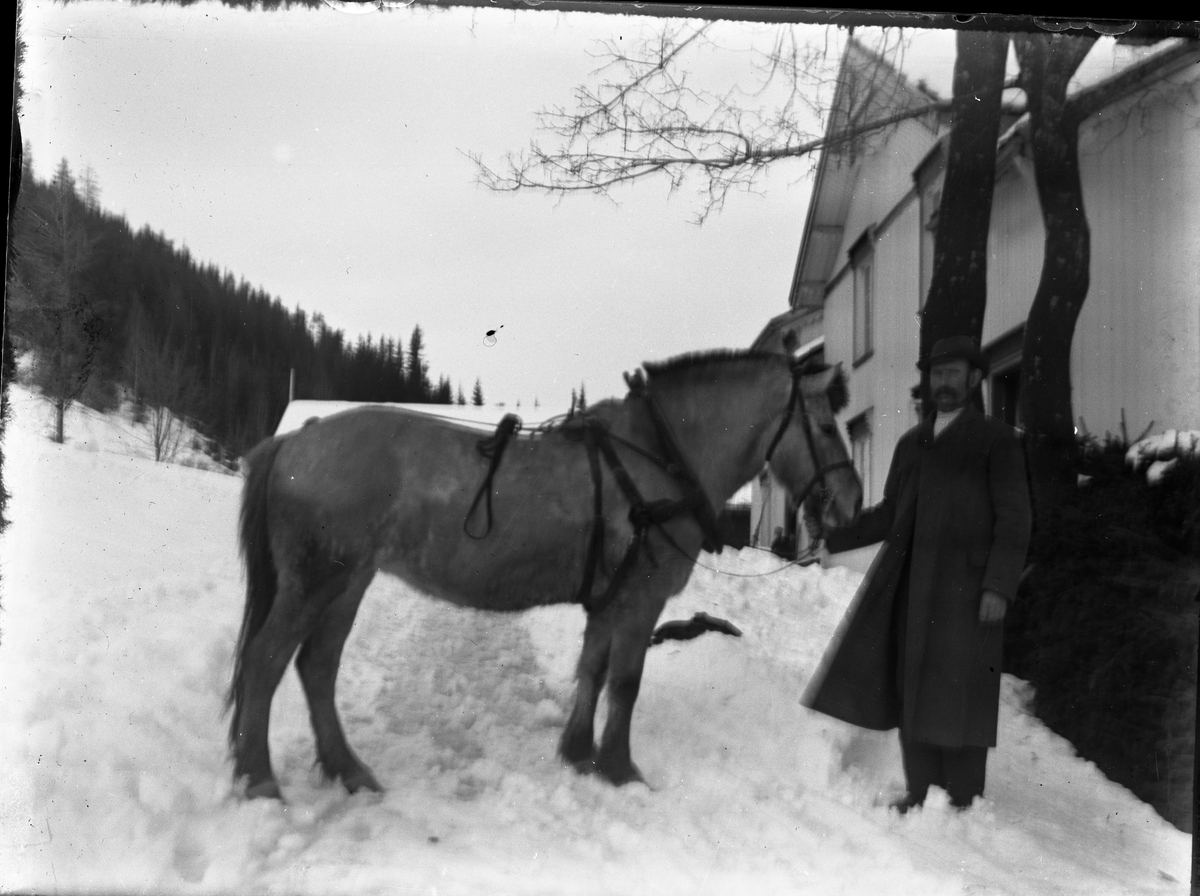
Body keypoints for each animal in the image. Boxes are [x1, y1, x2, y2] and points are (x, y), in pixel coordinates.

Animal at [226, 347, 864, 801]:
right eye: (825, 426)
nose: (852, 501)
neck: (658, 458)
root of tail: (297, 437)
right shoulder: (642, 599)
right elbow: (625, 683)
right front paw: (621, 770)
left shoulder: (611, 599)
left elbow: (592, 671)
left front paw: (578, 753)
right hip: (317, 581)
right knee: (267, 661)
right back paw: (260, 780)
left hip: (348, 582)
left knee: (316, 667)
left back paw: (348, 770)